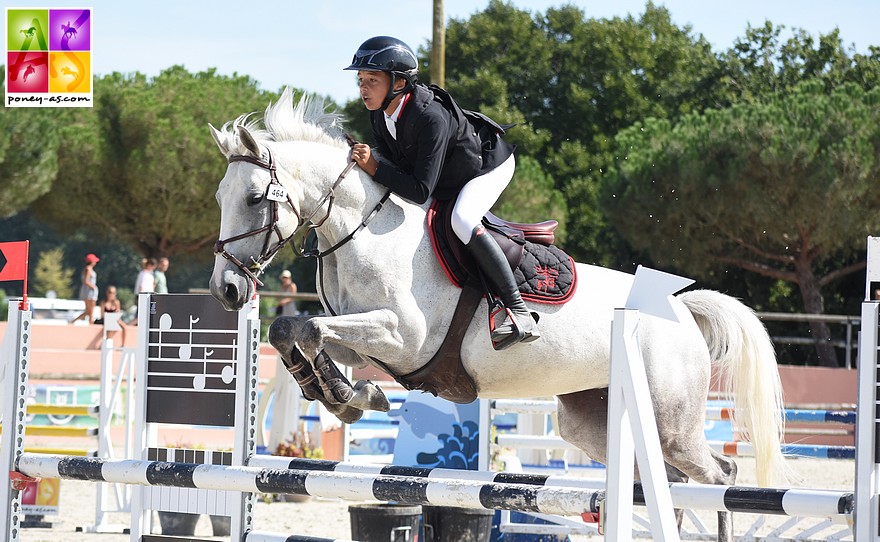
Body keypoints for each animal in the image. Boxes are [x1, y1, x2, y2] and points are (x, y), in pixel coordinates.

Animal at [210, 90, 788, 542]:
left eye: (254, 197)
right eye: (220, 197)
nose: (226, 290)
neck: (362, 230)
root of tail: (680, 309)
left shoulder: (403, 337)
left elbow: (308, 328)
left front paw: (349, 396)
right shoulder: (364, 339)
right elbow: (292, 330)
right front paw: (346, 394)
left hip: (671, 420)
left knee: (719, 473)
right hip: (590, 419)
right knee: (667, 480)